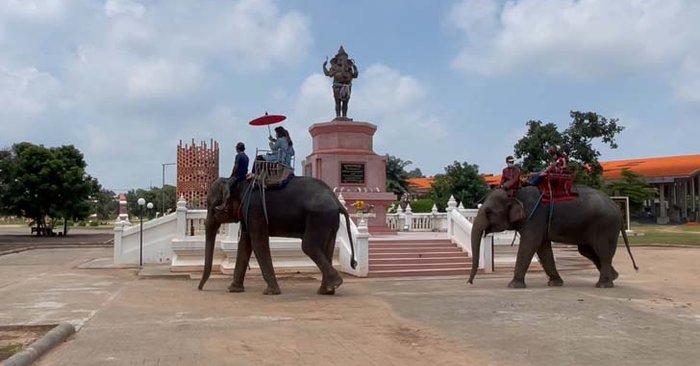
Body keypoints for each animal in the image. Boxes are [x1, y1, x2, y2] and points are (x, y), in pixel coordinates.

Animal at [200, 177, 358, 294]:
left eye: (210, 206)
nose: (200, 288)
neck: (236, 182)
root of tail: (336, 200)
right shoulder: (247, 213)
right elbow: (245, 243)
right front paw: (234, 289)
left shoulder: (254, 210)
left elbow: (258, 241)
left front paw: (271, 292)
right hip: (329, 220)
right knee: (328, 247)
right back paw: (326, 290)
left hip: (319, 217)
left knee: (308, 246)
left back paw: (334, 284)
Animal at [468, 187, 636, 288]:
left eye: (489, 212)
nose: (469, 282)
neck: (516, 192)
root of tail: (616, 207)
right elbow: (543, 248)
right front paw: (555, 283)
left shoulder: (535, 217)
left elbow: (530, 244)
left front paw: (513, 286)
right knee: (587, 251)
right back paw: (614, 277)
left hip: (605, 226)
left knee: (603, 252)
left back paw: (603, 285)